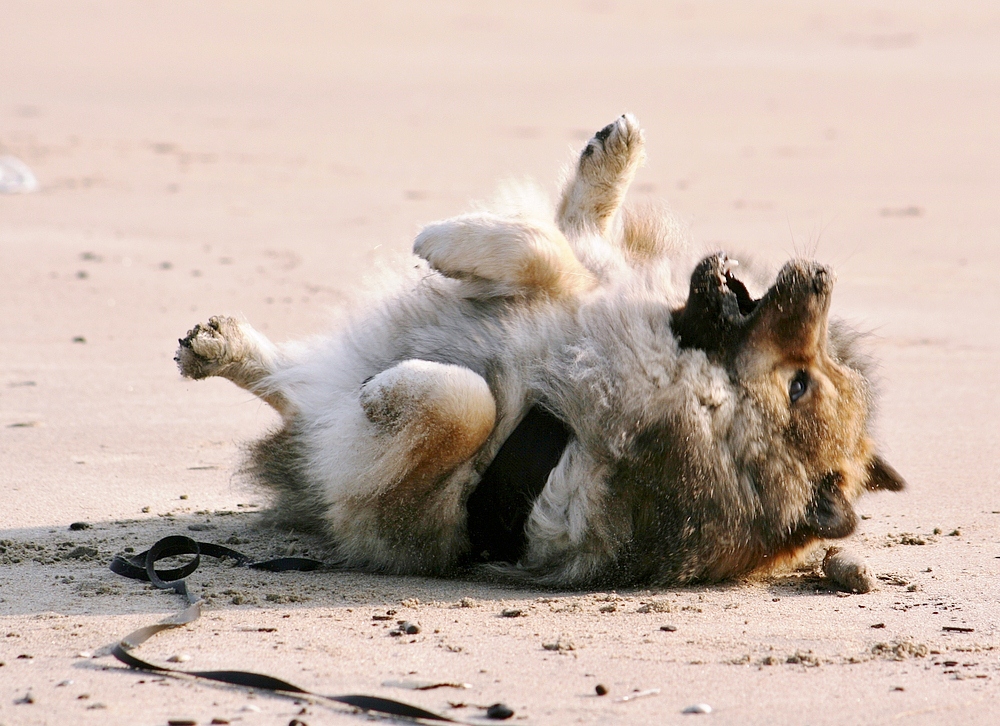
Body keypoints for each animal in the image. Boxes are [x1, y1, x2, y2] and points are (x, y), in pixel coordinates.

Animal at [176, 115, 904, 592]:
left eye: (801, 385)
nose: (821, 274)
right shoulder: (586, 300)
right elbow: (546, 254)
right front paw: (456, 239)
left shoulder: (402, 508)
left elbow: (464, 403)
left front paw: (388, 388)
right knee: (579, 232)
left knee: (300, 396)